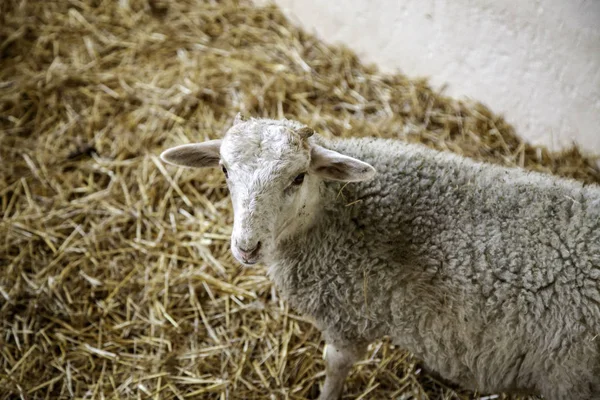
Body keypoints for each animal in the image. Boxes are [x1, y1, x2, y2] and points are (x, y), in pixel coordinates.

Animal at [159, 115, 600, 400]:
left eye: (298, 177)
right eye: (224, 169)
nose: (247, 247)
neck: (338, 212)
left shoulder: (347, 316)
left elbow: (334, 367)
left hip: (571, 378)